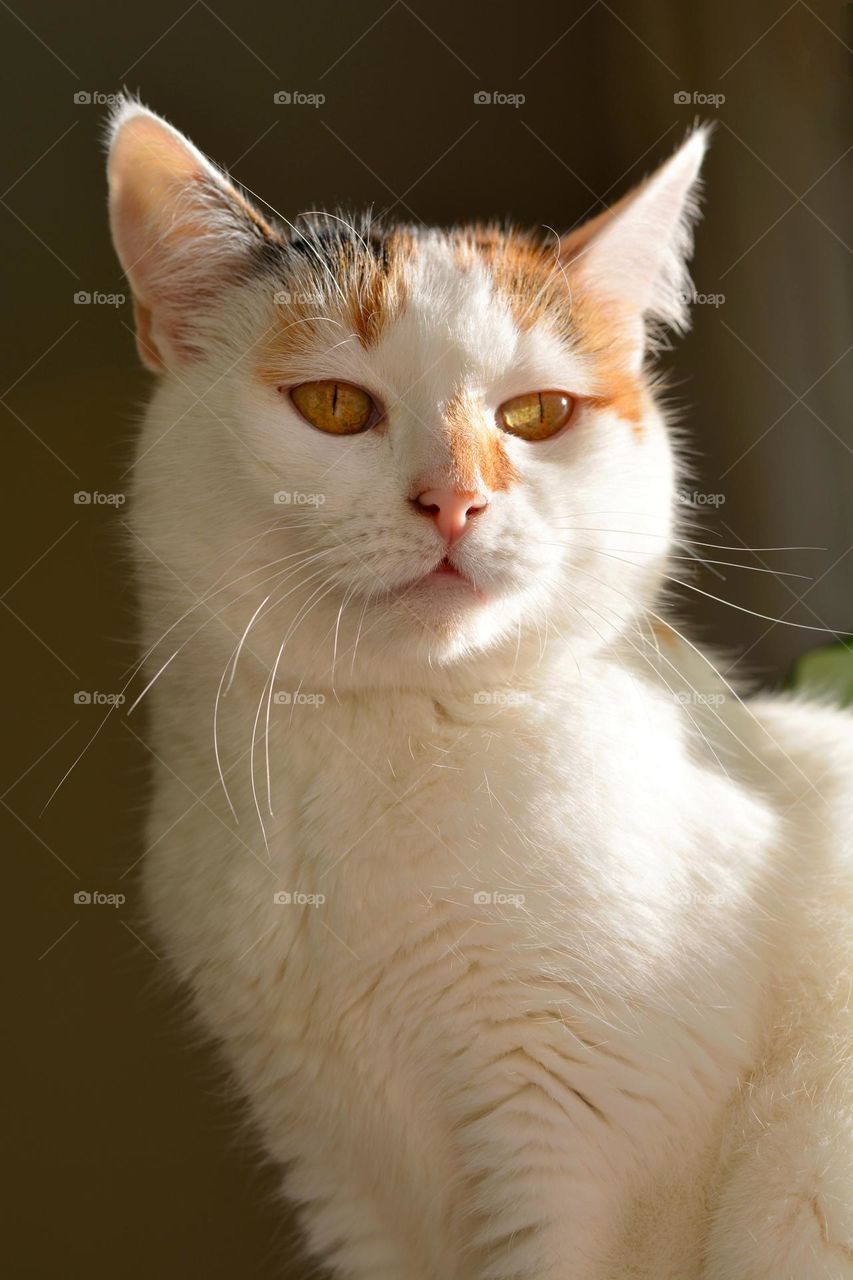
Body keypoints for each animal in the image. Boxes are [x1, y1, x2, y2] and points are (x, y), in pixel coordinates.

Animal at [106, 102, 850, 1280]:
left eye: (537, 414)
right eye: (333, 404)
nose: (454, 500)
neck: (367, 751)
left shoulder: (583, 1158)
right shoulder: (337, 1172)